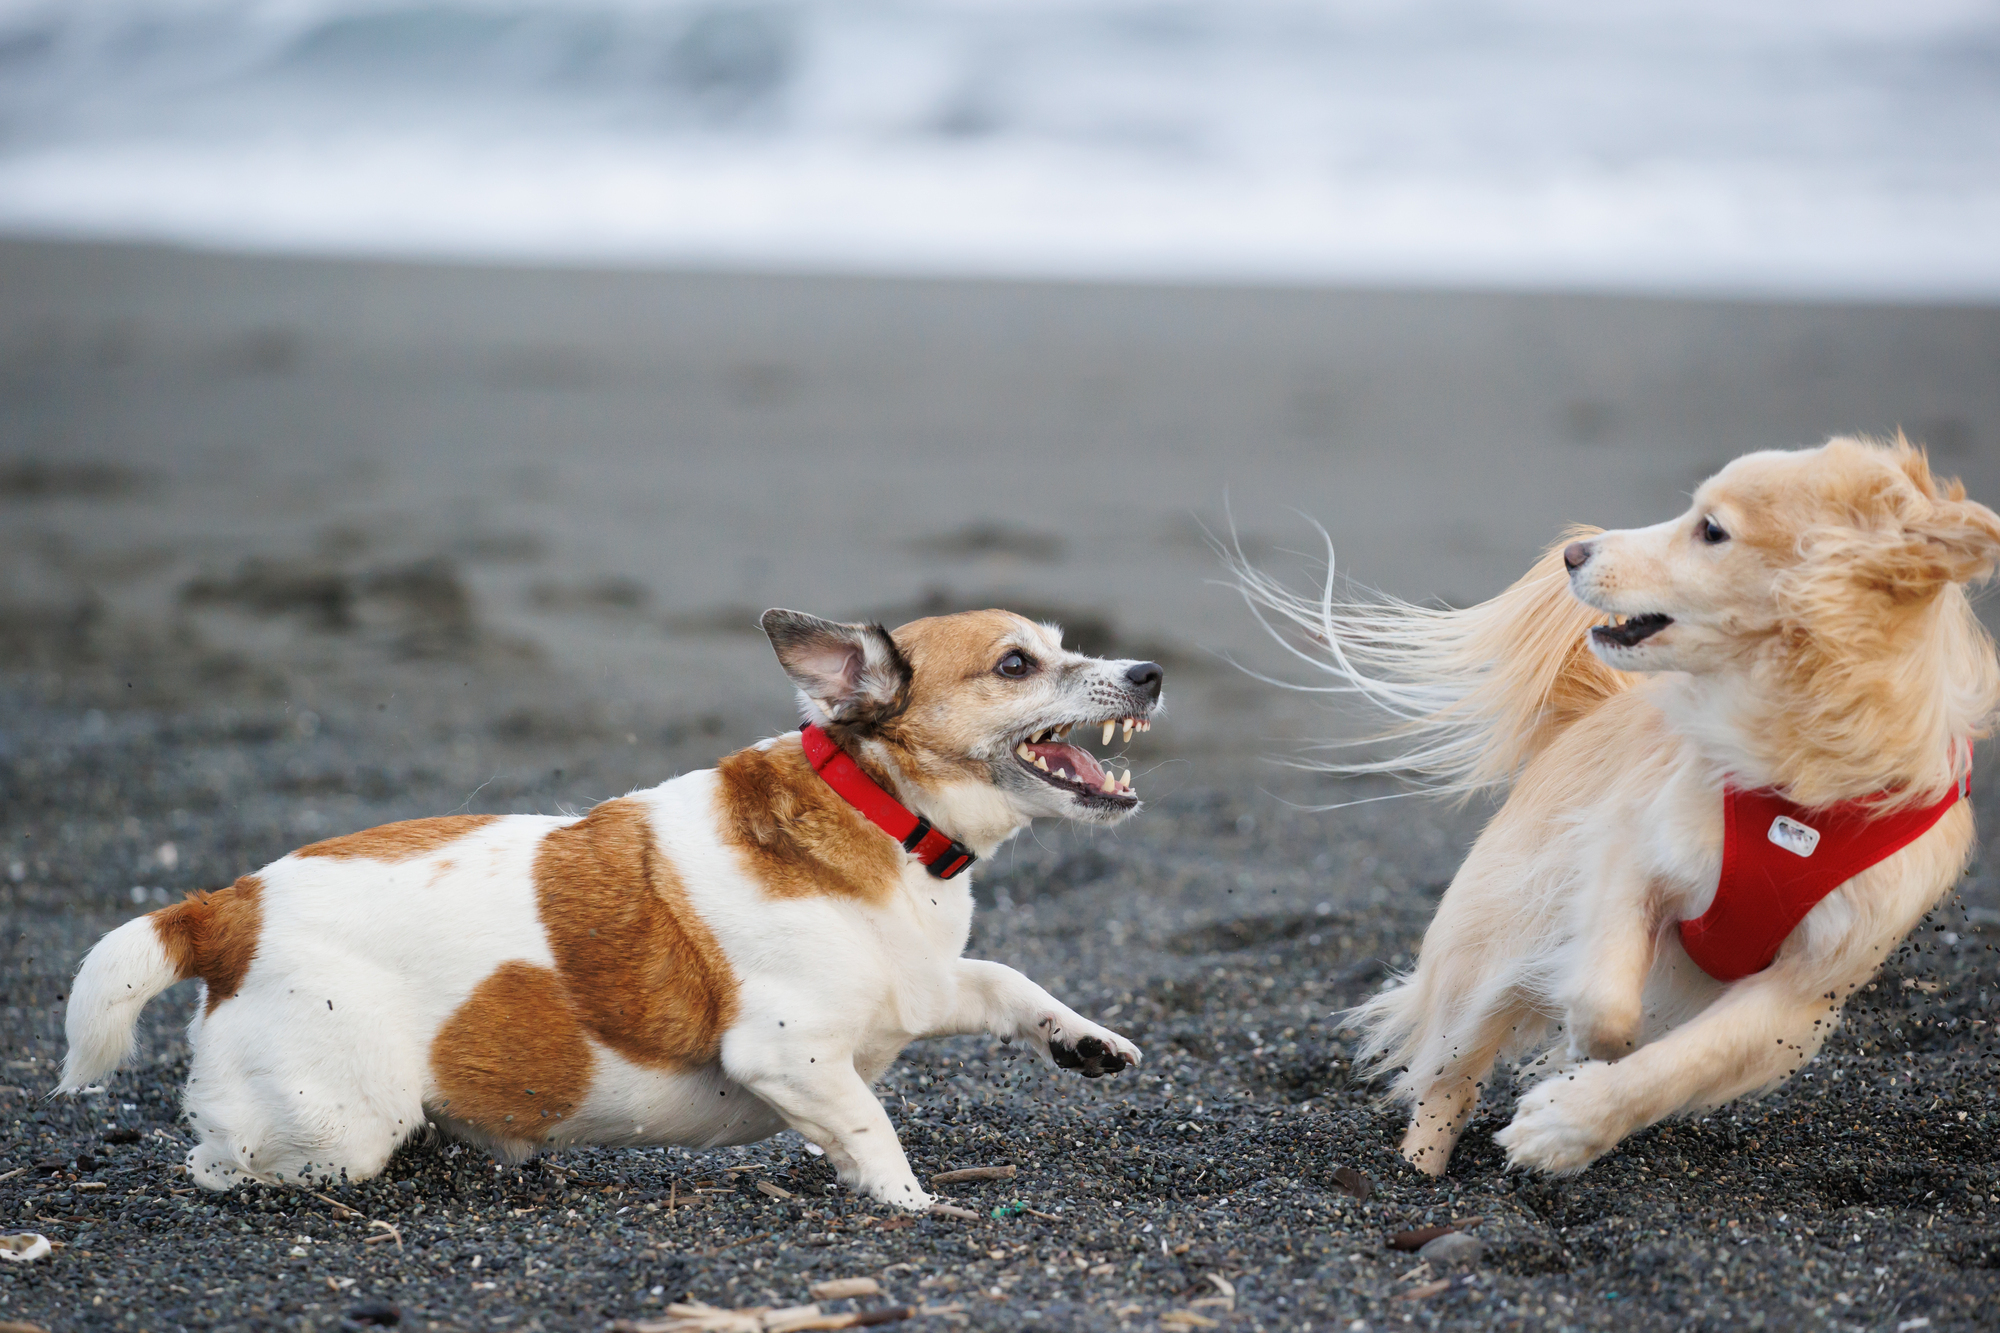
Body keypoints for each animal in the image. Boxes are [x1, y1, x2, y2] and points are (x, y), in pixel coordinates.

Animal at [62, 608, 1168, 1208]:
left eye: (1062, 644)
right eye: (1016, 664)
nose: (1151, 669)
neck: (881, 814)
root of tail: (223, 909)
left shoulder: (922, 985)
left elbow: (1006, 981)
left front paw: (1085, 1042)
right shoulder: (789, 1055)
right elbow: (872, 1128)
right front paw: (913, 1206)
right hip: (336, 1127)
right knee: (218, 1159)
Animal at [1232, 434, 2000, 1160]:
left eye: (1711, 530)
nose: (1575, 552)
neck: (1797, 770)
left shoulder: (1804, 992)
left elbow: (1681, 1062)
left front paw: (1564, 1124)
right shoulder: (1632, 853)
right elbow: (1606, 1005)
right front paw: (1580, 1051)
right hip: (1492, 946)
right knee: (1448, 1078)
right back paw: (1419, 1175)